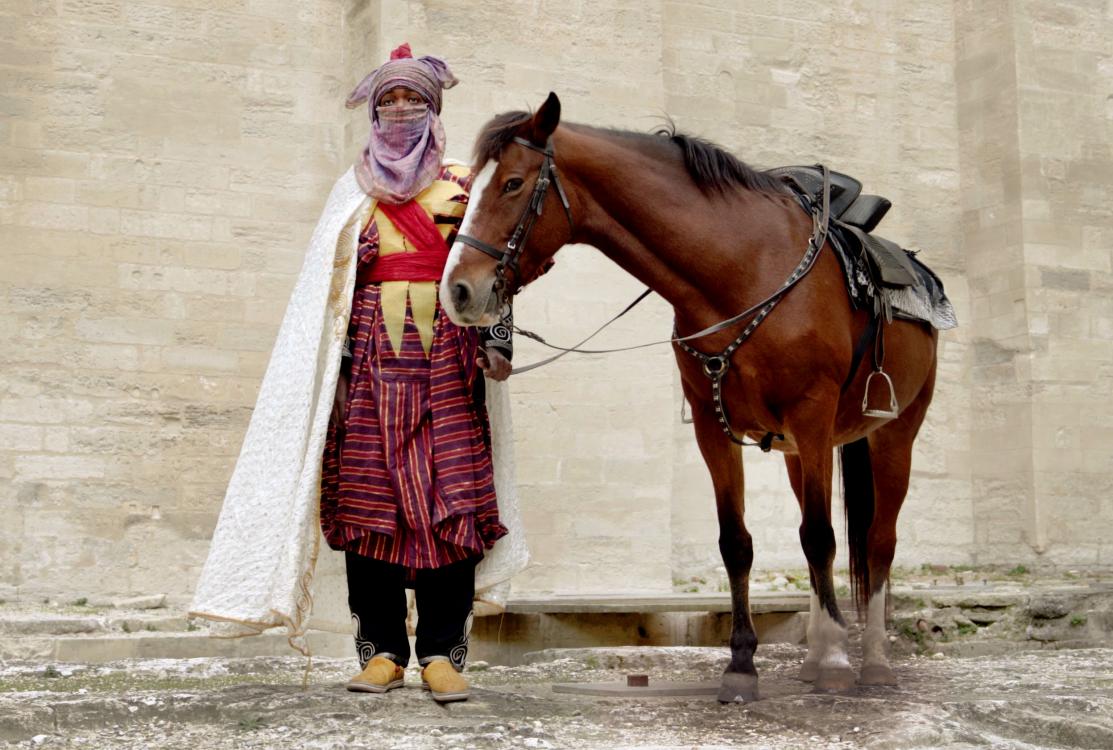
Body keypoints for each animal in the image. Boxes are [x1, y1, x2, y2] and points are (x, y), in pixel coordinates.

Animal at [442, 95, 939, 703]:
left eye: (512, 183)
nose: (458, 290)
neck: (743, 268)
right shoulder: (713, 426)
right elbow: (738, 543)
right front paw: (743, 664)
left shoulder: (814, 414)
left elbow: (822, 538)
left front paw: (837, 663)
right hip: (799, 454)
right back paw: (817, 654)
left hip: (892, 434)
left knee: (877, 541)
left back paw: (871, 660)